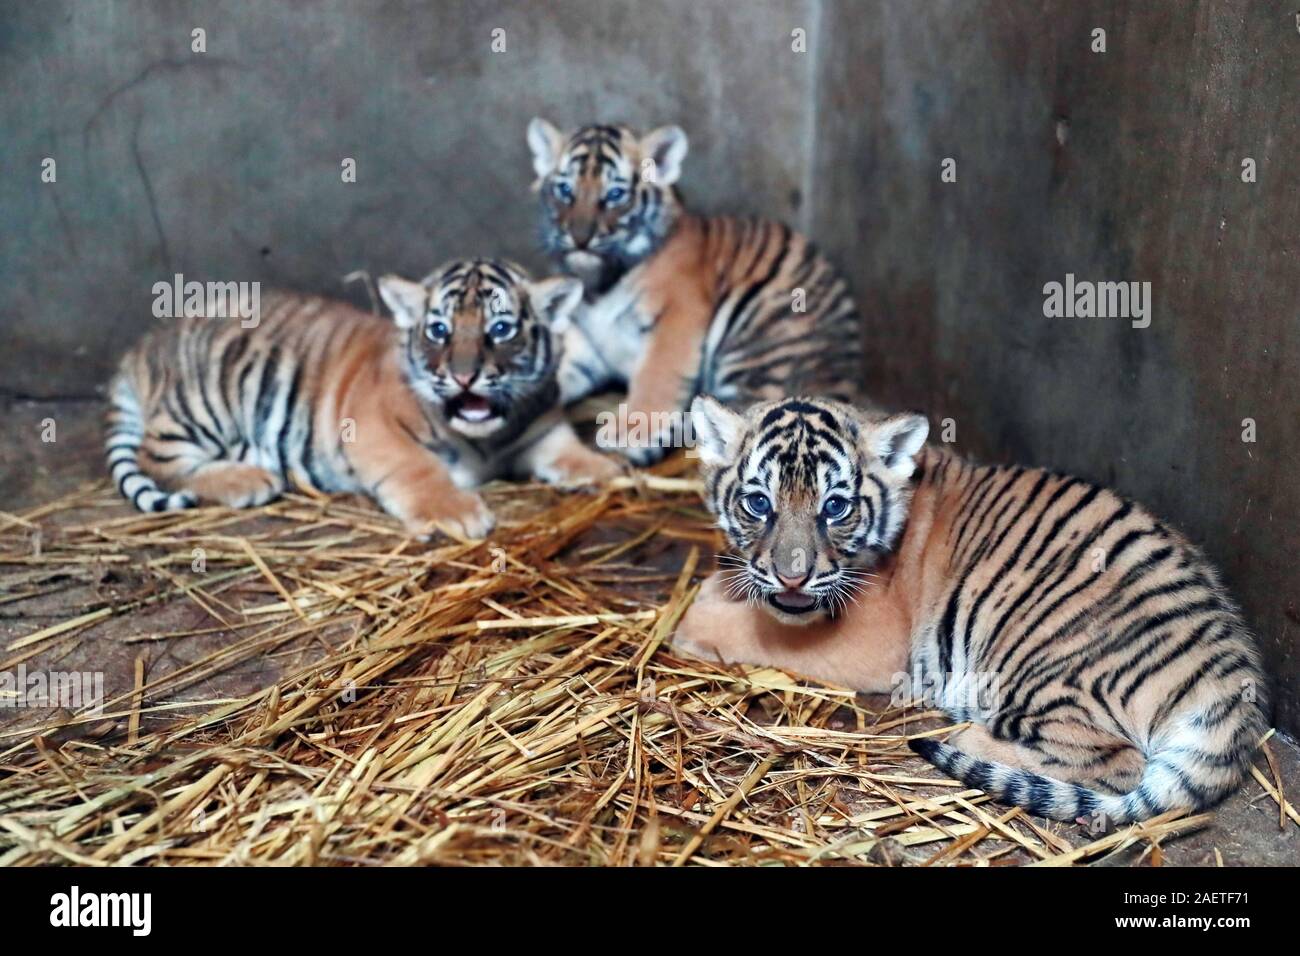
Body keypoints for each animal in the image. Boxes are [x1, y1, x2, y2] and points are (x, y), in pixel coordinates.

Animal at [105, 258, 621, 538]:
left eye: (500, 329)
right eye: (439, 330)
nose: (463, 376)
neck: (488, 437)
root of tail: (142, 346)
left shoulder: (542, 425)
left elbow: (567, 448)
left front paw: (608, 470)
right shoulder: (373, 426)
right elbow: (418, 468)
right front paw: (457, 513)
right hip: (204, 402)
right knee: (157, 458)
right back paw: (247, 480)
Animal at [526, 119, 863, 465]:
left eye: (616, 194)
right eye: (565, 190)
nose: (580, 238)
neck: (599, 284)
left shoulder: (679, 313)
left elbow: (657, 374)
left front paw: (631, 431)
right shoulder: (589, 340)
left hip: (759, 345)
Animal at [673, 395, 1268, 824]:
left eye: (835, 507)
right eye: (758, 503)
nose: (792, 576)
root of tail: (1235, 687)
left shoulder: (871, 636)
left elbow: (763, 630)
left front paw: (692, 616)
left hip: (1037, 665)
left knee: (1116, 760)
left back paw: (963, 736)